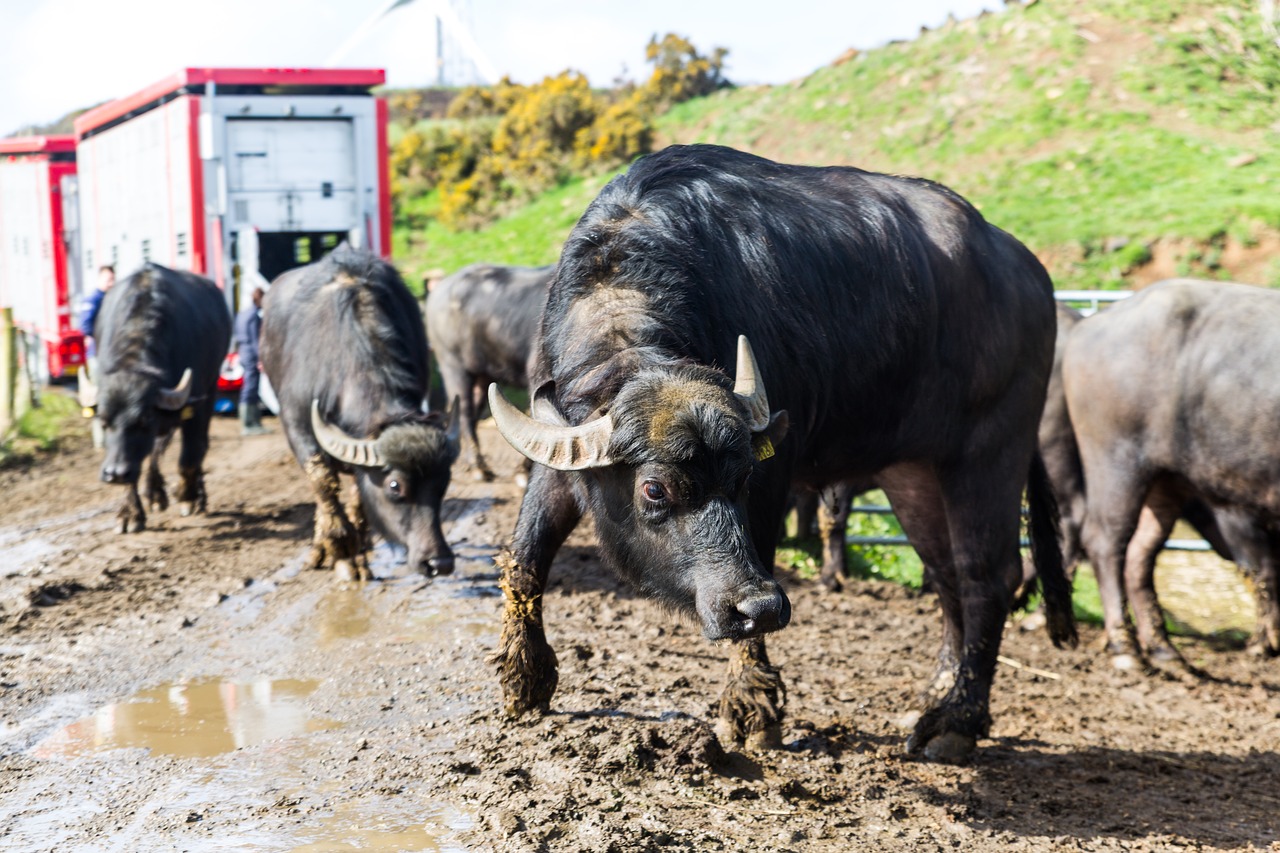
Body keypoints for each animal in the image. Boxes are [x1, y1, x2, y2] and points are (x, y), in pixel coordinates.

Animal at [78, 262, 231, 535]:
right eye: (104, 422)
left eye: (142, 421)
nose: (114, 473)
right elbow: (140, 462)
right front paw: (129, 514)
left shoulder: (197, 402)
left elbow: (190, 454)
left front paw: (187, 496)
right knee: (157, 450)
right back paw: (155, 493)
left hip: (212, 384)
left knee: (195, 447)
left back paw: (195, 495)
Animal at [259, 244, 460, 578]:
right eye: (395, 486)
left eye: (444, 483)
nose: (439, 563)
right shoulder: (296, 426)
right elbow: (322, 483)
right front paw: (341, 550)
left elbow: (357, 497)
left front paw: (359, 557)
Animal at [483, 142, 1075, 758]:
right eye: (654, 488)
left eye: (743, 478)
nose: (760, 605)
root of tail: (1030, 274)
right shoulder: (563, 458)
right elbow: (525, 556)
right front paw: (524, 681)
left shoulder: (775, 479)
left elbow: (762, 559)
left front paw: (751, 708)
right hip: (913, 472)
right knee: (945, 570)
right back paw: (936, 690)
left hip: (990, 449)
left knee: (989, 572)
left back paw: (957, 720)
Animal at [1059, 277, 1280, 666]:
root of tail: (1091, 324)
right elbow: (1265, 568)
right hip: (1116, 460)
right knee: (1105, 539)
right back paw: (1125, 646)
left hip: (1167, 478)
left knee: (1140, 553)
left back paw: (1164, 649)